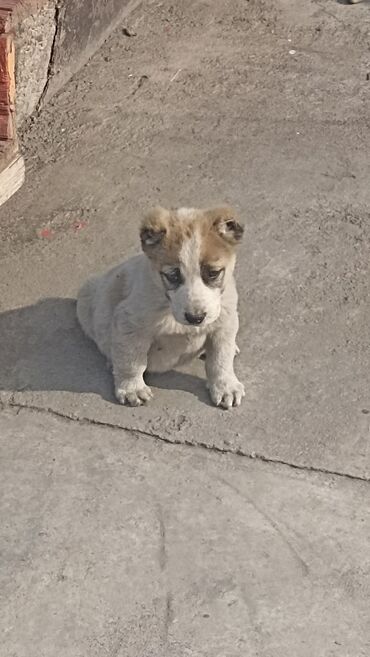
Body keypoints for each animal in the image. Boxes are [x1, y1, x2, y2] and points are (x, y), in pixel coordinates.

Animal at [77, 208, 246, 408]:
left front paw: (225, 385)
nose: (195, 318)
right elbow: (132, 360)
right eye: (173, 275)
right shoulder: (129, 323)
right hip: (87, 299)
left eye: (213, 273)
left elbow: (221, 359)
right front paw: (132, 387)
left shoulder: (225, 320)